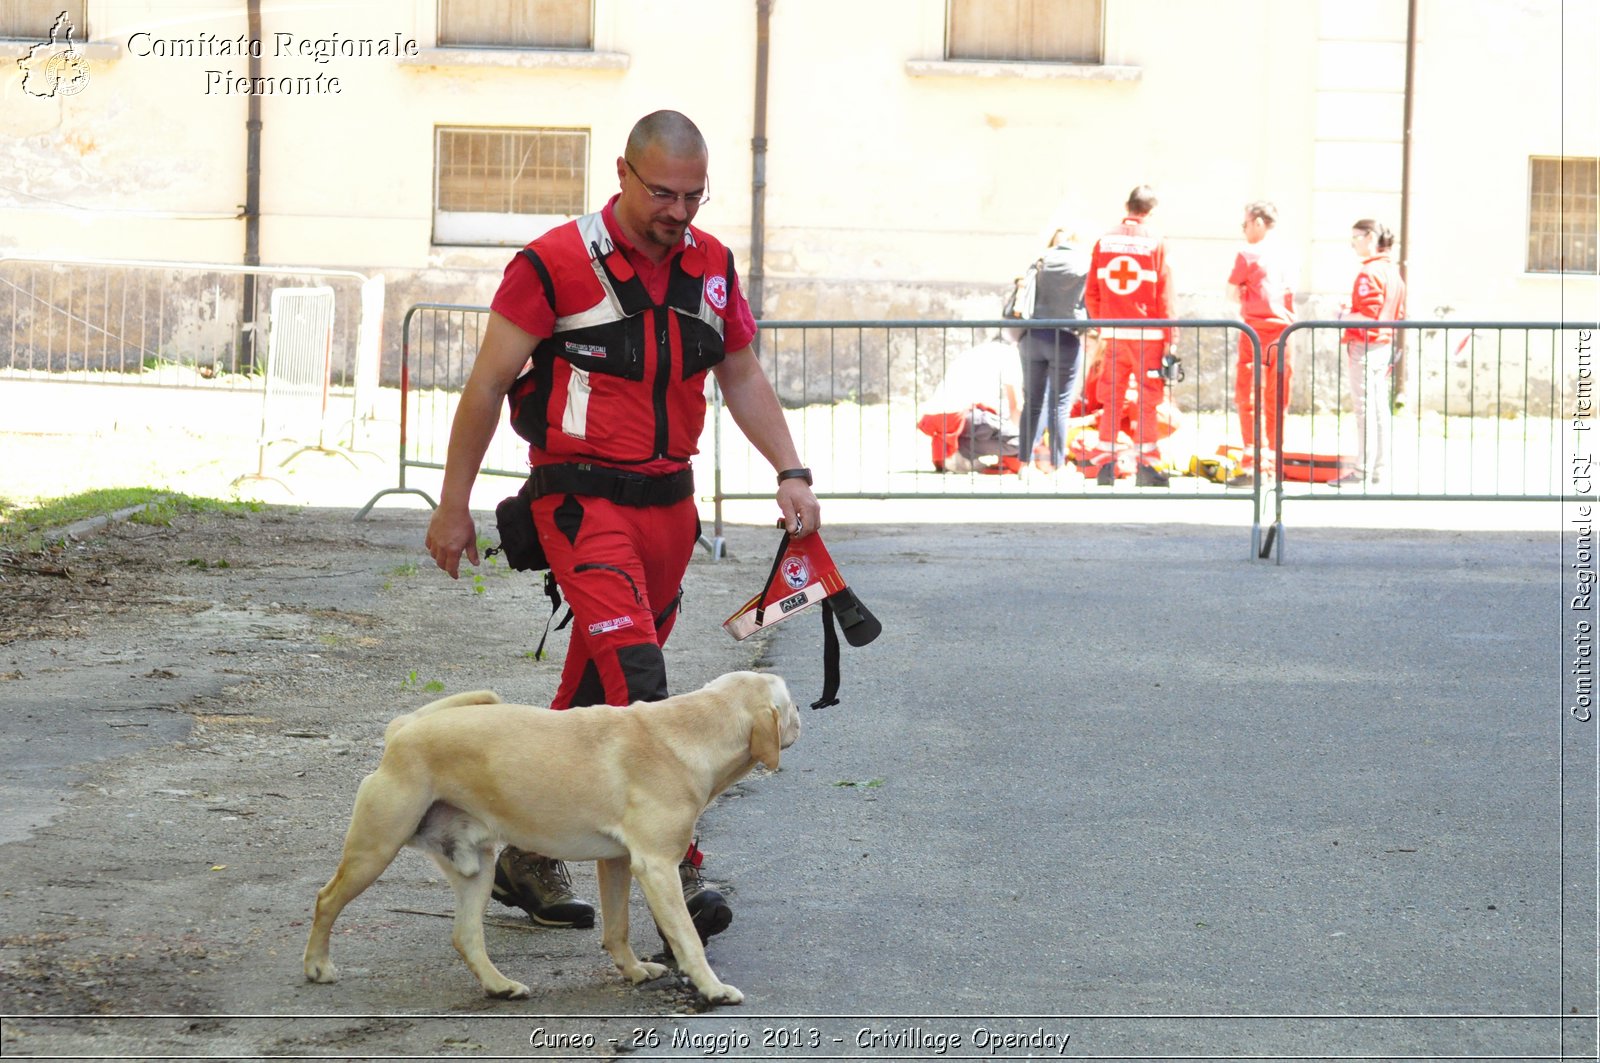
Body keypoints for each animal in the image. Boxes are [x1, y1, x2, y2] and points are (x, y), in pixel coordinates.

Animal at [300, 672, 800, 1005]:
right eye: (791, 705)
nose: (803, 720)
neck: (690, 730)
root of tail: (402, 730)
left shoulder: (617, 863)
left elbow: (616, 929)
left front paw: (633, 971)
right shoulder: (657, 867)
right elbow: (688, 938)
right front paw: (712, 989)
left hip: (476, 869)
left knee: (466, 936)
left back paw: (499, 985)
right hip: (374, 850)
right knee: (325, 900)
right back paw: (317, 965)